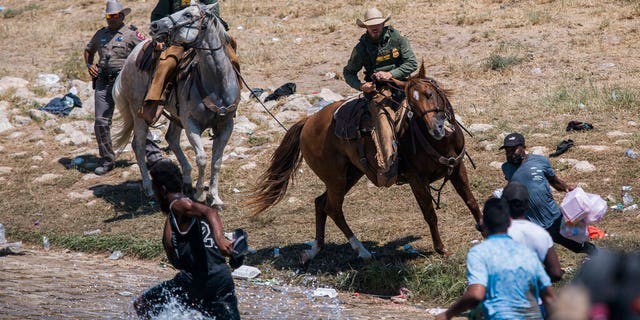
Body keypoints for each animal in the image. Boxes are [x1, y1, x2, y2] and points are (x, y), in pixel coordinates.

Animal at [112, 3, 240, 208]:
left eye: (188, 14)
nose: (155, 26)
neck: (216, 84)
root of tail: (130, 58)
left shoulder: (226, 125)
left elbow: (217, 161)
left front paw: (215, 197)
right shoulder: (191, 124)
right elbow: (202, 159)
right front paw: (200, 194)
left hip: (175, 115)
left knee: (171, 138)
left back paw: (186, 179)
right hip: (139, 114)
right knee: (138, 145)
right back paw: (149, 188)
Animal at [248, 63, 482, 264]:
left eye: (429, 94)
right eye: (412, 105)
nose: (437, 128)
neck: (438, 142)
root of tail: (307, 122)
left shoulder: (457, 168)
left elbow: (471, 201)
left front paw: (483, 228)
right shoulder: (417, 180)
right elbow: (430, 214)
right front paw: (442, 249)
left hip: (351, 174)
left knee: (320, 203)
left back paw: (315, 250)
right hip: (335, 179)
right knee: (333, 208)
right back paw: (361, 250)